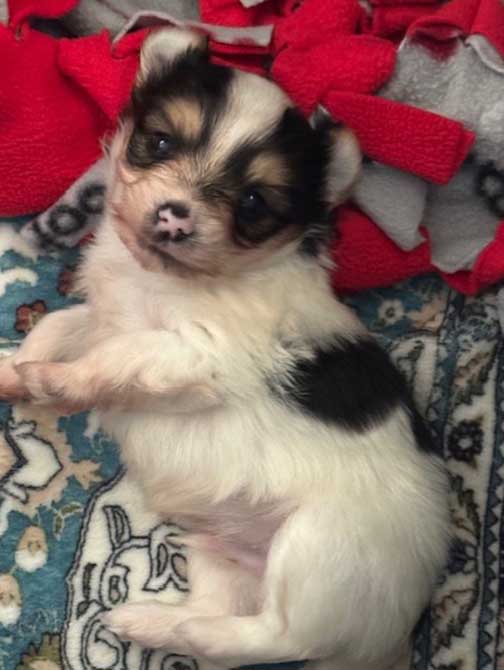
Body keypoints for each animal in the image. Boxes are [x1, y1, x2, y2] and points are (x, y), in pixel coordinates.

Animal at [0, 28, 449, 670]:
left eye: (254, 203)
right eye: (160, 141)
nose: (173, 217)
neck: (161, 279)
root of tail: (388, 639)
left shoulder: (198, 353)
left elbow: (116, 356)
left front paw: (54, 383)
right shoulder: (103, 314)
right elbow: (59, 327)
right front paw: (16, 370)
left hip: (319, 549)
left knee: (279, 634)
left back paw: (151, 624)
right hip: (224, 554)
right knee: (231, 623)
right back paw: (161, 624)